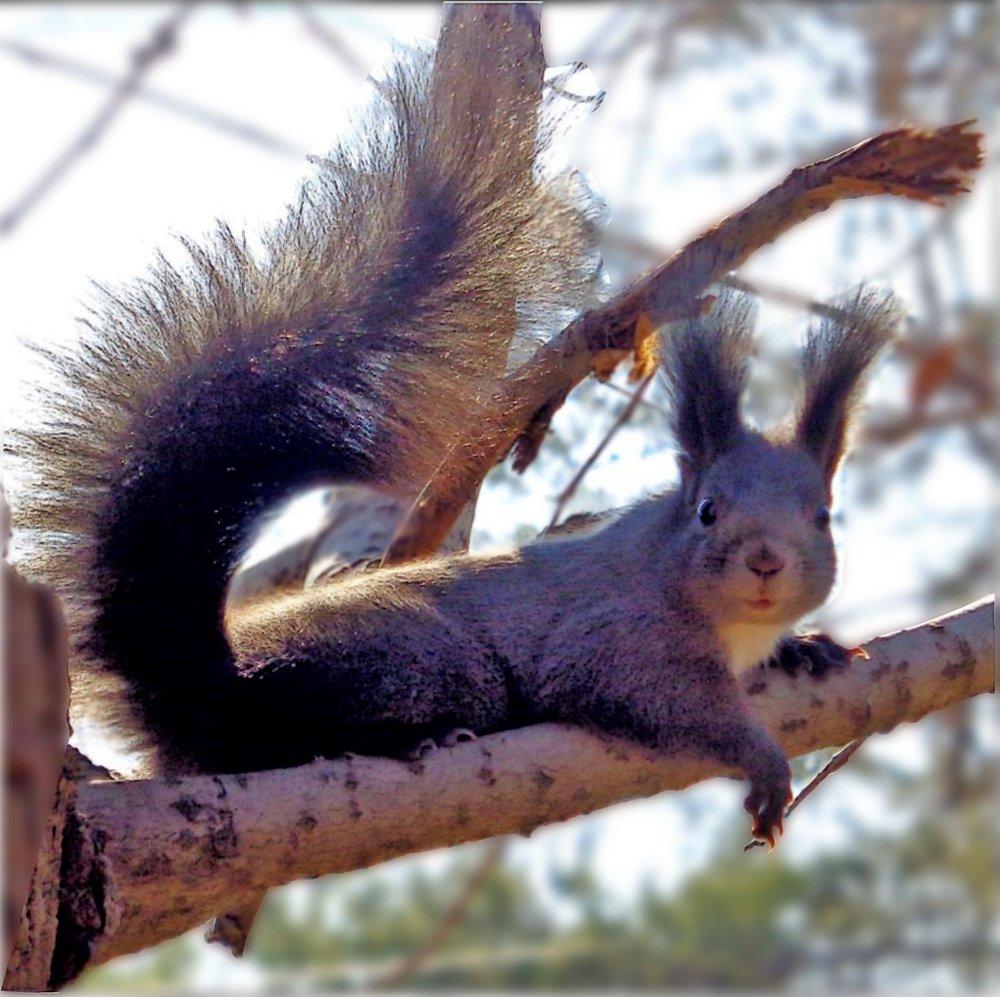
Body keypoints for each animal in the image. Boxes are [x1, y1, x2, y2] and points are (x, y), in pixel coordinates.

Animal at [8, 3, 900, 847]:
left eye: (823, 515)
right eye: (708, 510)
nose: (766, 561)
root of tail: (207, 682)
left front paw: (806, 645)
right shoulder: (614, 637)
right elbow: (658, 699)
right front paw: (761, 754)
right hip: (418, 664)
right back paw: (420, 738)